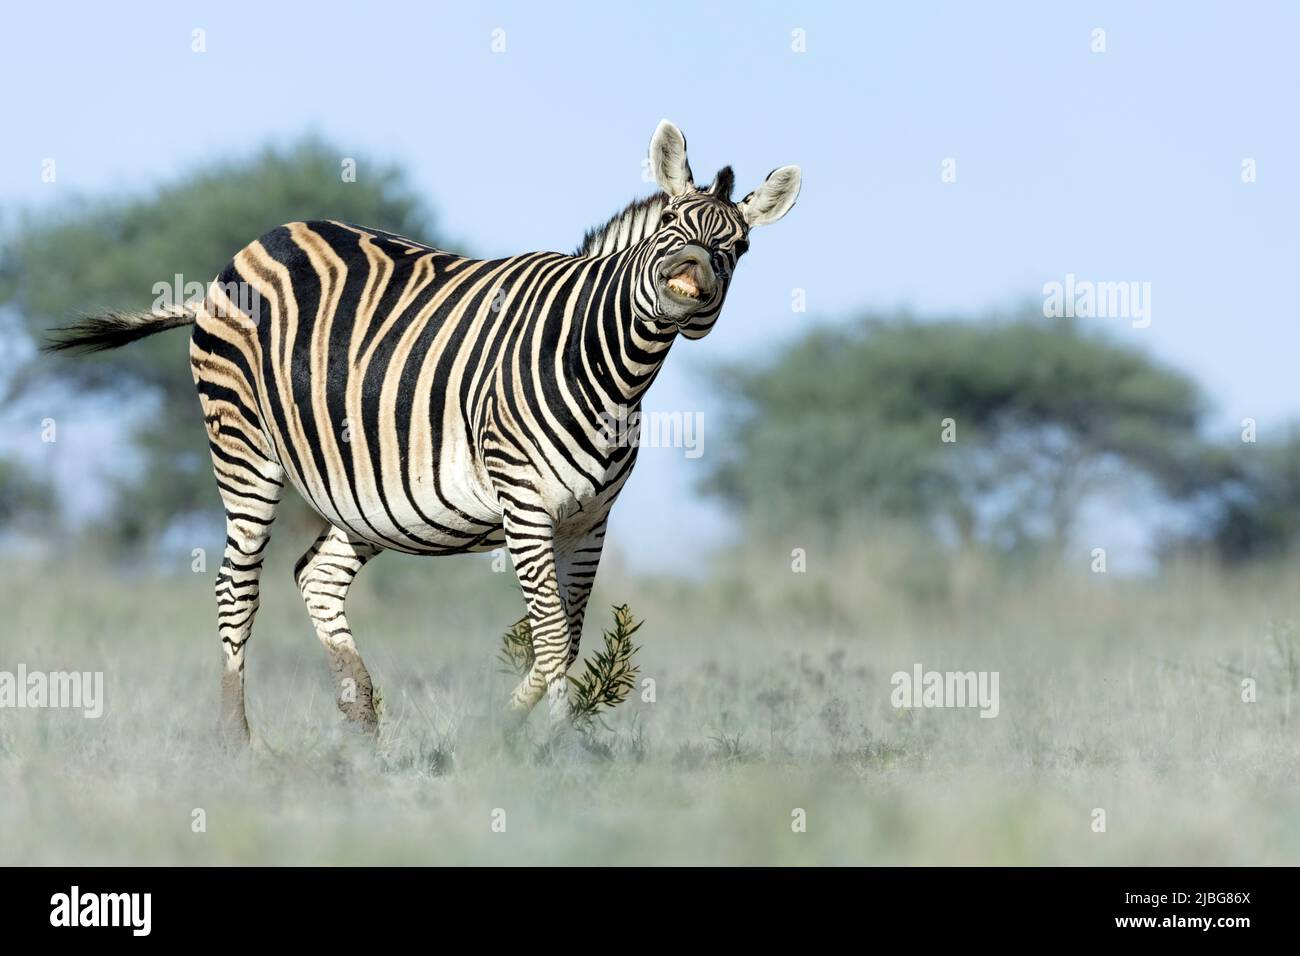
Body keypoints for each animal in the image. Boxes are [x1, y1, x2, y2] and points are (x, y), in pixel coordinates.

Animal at [48, 121, 800, 749]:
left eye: (737, 247)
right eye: (672, 223)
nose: (692, 274)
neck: (613, 370)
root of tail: (249, 250)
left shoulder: (588, 521)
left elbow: (567, 637)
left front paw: (502, 734)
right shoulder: (525, 505)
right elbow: (550, 636)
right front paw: (562, 748)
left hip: (363, 493)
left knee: (316, 575)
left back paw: (361, 724)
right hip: (243, 447)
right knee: (237, 587)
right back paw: (236, 743)